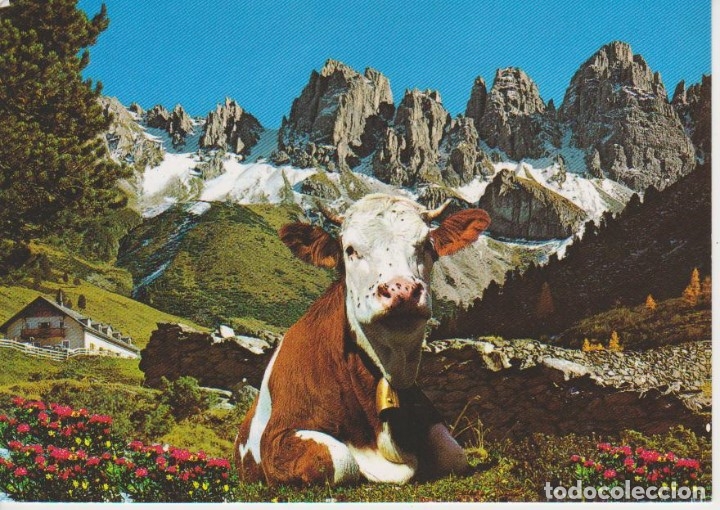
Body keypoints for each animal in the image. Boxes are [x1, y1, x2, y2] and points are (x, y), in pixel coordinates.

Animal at [234, 193, 490, 486]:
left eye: (426, 244)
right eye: (350, 249)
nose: (401, 290)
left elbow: (454, 454)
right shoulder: (278, 437)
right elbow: (339, 459)